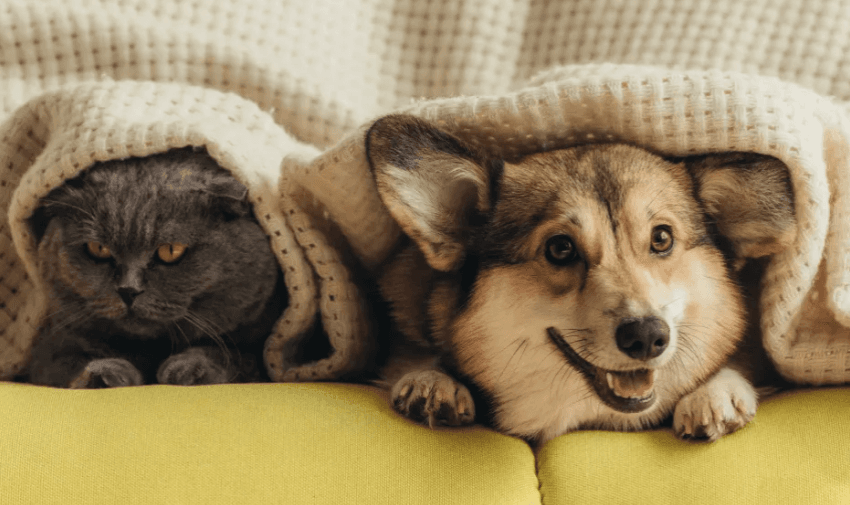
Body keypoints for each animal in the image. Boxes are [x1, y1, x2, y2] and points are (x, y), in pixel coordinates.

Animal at [23, 148, 286, 388]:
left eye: (171, 250)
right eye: (98, 249)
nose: (128, 290)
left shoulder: (260, 351)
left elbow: (234, 355)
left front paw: (190, 369)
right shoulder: (52, 342)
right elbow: (70, 358)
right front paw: (106, 373)